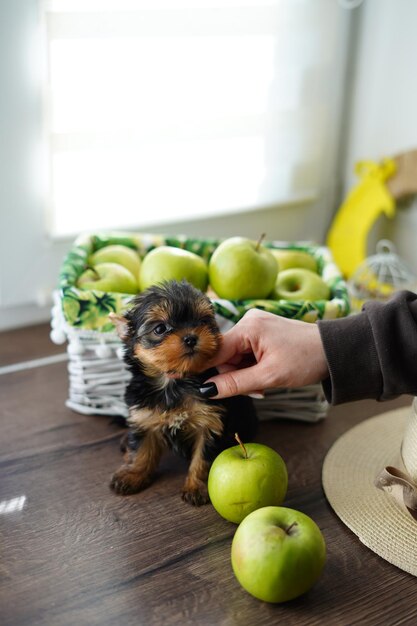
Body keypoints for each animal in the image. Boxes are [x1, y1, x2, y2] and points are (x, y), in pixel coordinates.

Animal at [109, 280, 255, 504]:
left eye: (203, 321)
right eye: (160, 328)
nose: (190, 338)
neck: (174, 382)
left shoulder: (209, 422)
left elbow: (203, 458)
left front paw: (196, 487)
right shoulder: (144, 416)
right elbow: (141, 449)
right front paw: (132, 475)